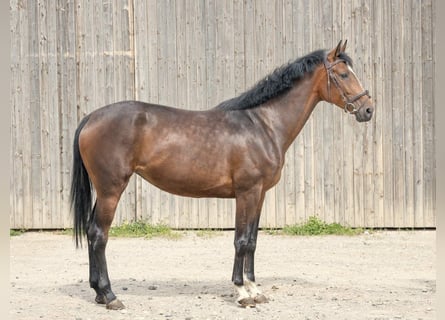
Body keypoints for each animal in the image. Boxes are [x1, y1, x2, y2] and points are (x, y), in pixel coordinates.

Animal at [71, 41, 372, 308]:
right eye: (343, 74)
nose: (368, 109)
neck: (263, 125)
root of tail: (91, 118)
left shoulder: (259, 195)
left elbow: (252, 241)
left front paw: (255, 289)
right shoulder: (247, 193)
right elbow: (240, 240)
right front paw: (241, 293)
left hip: (104, 190)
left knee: (91, 232)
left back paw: (99, 293)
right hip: (111, 190)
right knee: (99, 234)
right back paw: (110, 296)